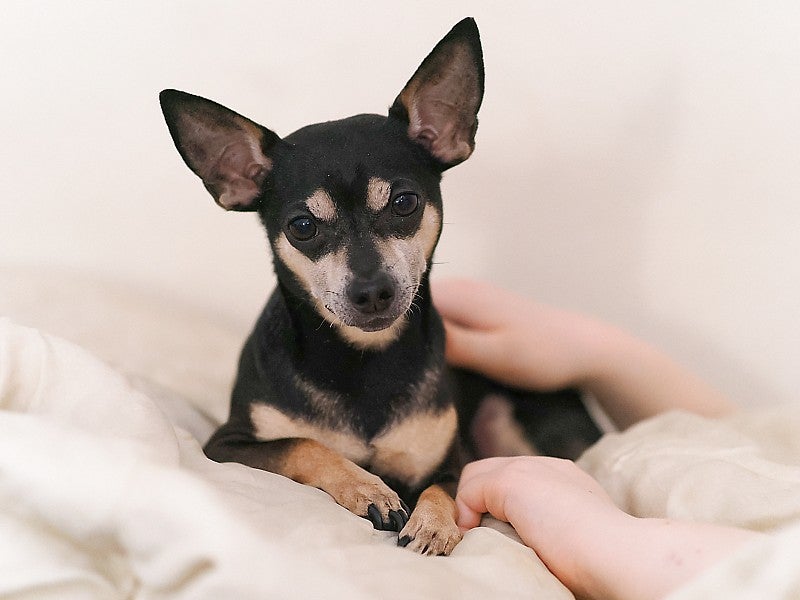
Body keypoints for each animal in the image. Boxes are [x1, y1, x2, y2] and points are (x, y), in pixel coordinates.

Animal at [159, 18, 596, 556]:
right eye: (302, 227)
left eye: (405, 202)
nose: (371, 291)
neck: (363, 358)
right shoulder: (227, 446)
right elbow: (303, 444)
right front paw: (369, 488)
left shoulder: (452, 463)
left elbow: (441, 488)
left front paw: (432, 524)